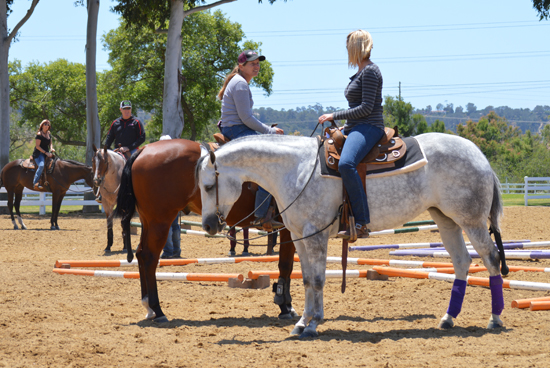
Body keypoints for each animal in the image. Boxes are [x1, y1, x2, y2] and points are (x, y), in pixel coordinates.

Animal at [115, 139, 300, 324]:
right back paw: (158, 310)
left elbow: (290, 265)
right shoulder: (289, 229)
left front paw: (288, 306)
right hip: (160, 221)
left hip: (148, 221)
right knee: (149, 257)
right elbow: (285, 265)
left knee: (140, 254)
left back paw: (148, 307)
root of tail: (144, 150)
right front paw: (285, 307)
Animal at [197, 133, 508, 340]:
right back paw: (448, 319)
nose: (209, 226)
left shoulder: (315, 236)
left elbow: (318, 280)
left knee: (491, 259)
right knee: (462, 262)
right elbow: (307, 279)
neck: (296, 170)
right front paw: (302, 323)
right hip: (447, 221)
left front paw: (313, 324)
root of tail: (478, 154)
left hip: (471, 221)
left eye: (209, 185)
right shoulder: (298, 237)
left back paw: (494, 319)